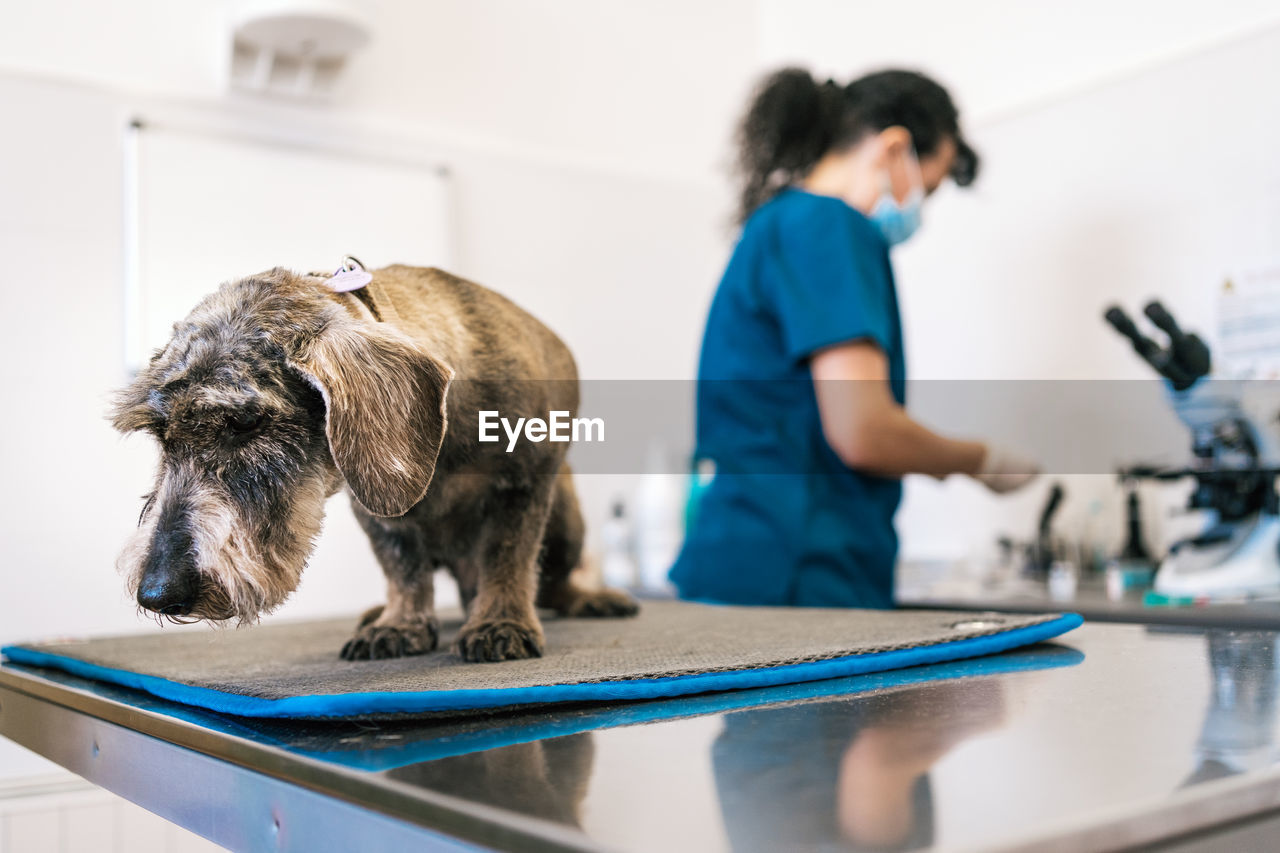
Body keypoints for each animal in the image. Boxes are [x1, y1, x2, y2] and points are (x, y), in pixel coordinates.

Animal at [107, 262, 637, 660]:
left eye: (245, 422)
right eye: (161, 434)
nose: (156, 593)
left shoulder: (523, 484)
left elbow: (508, 556)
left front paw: (499, 622)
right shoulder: (377, 515)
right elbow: (402, 569)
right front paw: (399, 623)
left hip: (567, 526)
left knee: (553, 583)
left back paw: (588, 598)